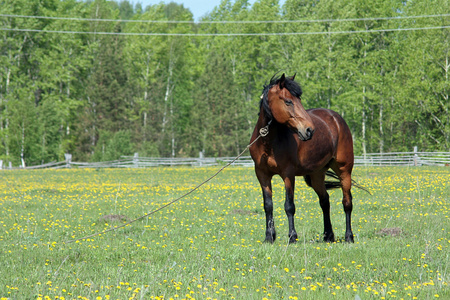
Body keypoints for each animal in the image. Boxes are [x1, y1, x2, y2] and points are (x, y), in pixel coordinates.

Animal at [248, 73, 356, 244]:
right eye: (288, 101)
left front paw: (292, 237)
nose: (309, 130)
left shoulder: (288, 174)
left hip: (344, 169)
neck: (269, 143)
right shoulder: (262, 174)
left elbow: (289, 205)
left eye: (299, 100)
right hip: (317, 174)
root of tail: (336, 118)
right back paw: (328, 235)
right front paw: (269, 237)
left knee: (347, 202)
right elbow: (268, 205)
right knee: (325, 201)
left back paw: (349, 237)